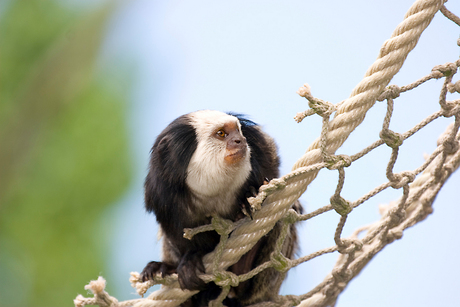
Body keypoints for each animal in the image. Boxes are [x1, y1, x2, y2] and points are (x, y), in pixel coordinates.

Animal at [142, 110, 304, 307]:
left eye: (238, 132)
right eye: (221, 134)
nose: (240, 140)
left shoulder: (265, 157)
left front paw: (250, 196)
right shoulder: (163, 197)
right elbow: (179, 237)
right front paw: (190, 260)